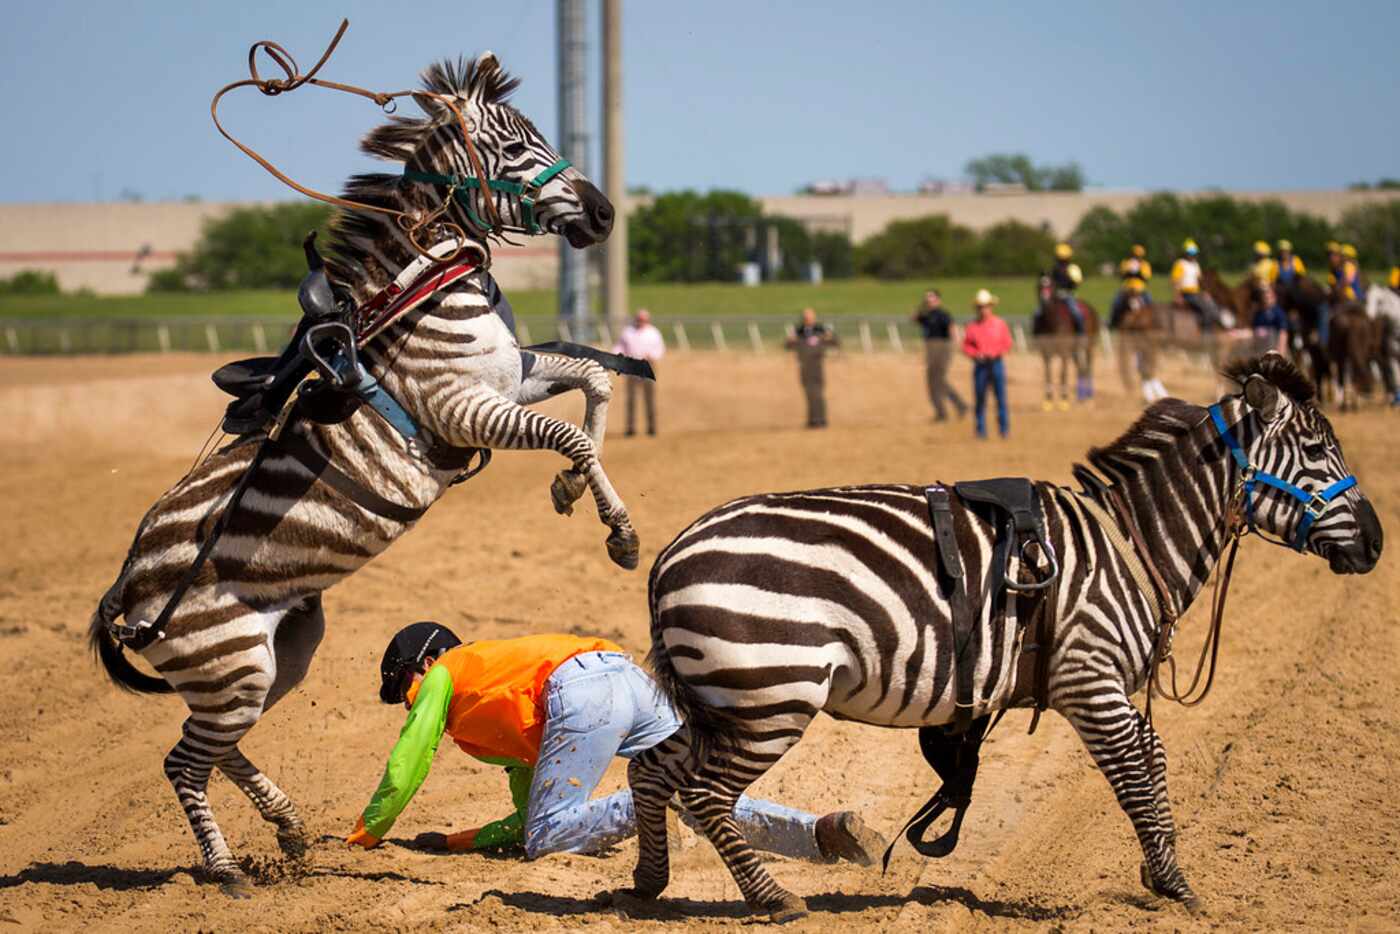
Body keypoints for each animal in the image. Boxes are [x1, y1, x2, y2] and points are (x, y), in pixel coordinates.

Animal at [88, 52, 635, 896]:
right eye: (516, 146)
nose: (606, 216)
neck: (425, 288)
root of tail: (124, 589)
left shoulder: (507, 382)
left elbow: (595, 382)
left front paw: (572, 492)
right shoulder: (462, 407)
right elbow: (569, 431)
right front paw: (617, 530)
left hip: (273, 656)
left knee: (214, 744)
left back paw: (288, 831)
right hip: (232, 665)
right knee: (184, 759)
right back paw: (226, 870)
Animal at [621, 354, 1377, 924]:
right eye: (1318, 450)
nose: (1375, 542)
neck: (1133, 540)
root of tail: (669, 555)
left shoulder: (1108, 687)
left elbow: (1155, 761)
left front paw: (1161, 873)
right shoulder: (1090, 680)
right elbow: (1133, 776)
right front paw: (1180, 889)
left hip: (722, 700)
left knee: (652, 771)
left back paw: (648, 885)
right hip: (772, 696)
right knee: (707, 795)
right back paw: (775, 900)